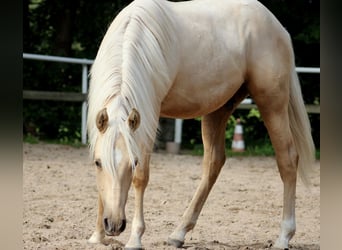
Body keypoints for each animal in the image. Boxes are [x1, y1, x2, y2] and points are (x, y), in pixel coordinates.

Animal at [86, 0, 316, 248]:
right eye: (98, 163)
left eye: (133, 163)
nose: (114, 225)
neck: (136, 37)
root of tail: (277, 26)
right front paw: (97, 236)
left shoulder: (149, 117)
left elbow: (141, 178)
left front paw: (135, 238)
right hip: (219, 109)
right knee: (213, 163)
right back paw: (178, 233)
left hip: (272, 104)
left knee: (287, 159)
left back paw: (284, 236)